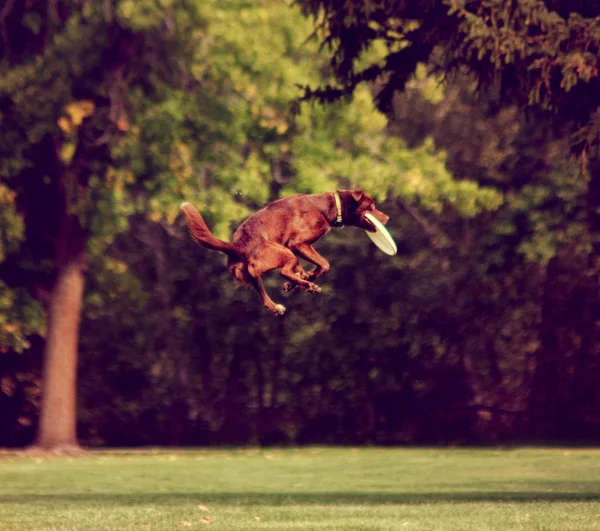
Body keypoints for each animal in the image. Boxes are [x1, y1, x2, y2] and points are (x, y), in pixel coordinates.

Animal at [180, 191, 392, 316]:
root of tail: (237, 245)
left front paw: (302, 279)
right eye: (372, 207)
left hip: (255, 272)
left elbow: (310, 268)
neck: (331, 205)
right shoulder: (298, 244)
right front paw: (307, 279)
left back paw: (284, 299)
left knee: (268, 297)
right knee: (284, 271)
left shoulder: (298, 248)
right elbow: (324, 264)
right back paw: (307, 285)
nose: (388, 218)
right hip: (282, 251)